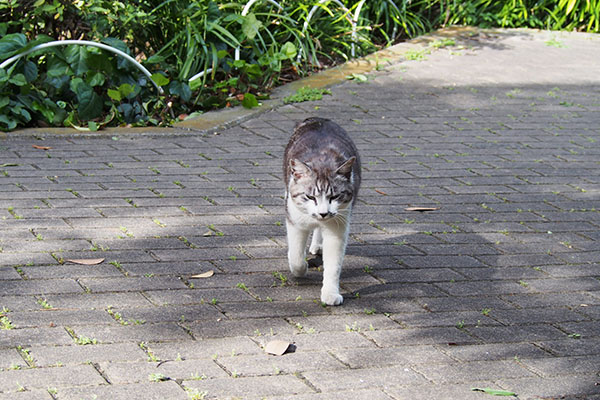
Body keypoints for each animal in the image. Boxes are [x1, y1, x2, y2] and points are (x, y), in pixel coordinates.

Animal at [282, 117, 360, 304]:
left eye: (335, 196)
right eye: (310, 197)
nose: (323, 213)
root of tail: (318, 119)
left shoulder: (338, 226)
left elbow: (333, 264)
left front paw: (330, 293)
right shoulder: (295, 220)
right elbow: (296, 256)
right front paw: (301, 268)